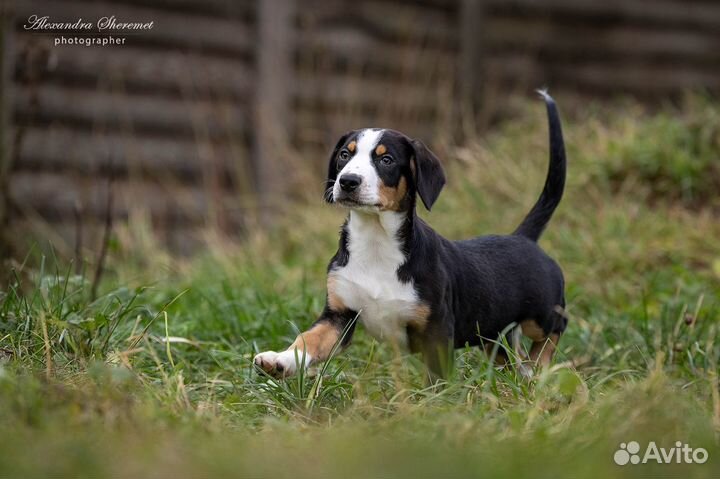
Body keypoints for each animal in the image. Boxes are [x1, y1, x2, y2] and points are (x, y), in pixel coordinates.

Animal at [253, 92, 568, 380]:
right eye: (345, 155)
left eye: (386, 160)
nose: (348, 181)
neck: (376, 242)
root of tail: (523, 237)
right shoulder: (339, 315)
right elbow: (309, 338)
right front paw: (280, 360)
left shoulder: (437, 329)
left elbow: (437, 379)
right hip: (491, 334)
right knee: (509, 357)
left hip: (541, 314)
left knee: (553, 331)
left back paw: (537, 369)